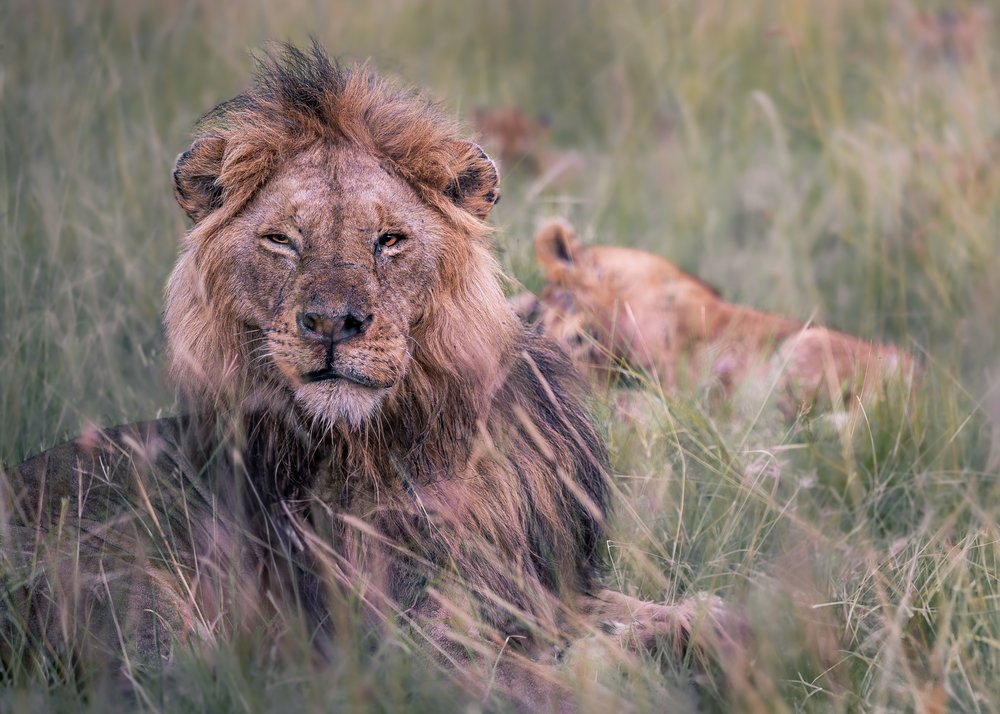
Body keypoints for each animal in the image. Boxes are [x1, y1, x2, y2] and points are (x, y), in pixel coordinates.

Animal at [2, 45, 739, 706]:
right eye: (281, 240)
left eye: (389, 240)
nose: (332, 322)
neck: (414, 438)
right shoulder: (408, 645)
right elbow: (550, 686)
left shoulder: (547, 592)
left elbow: (700, 613)